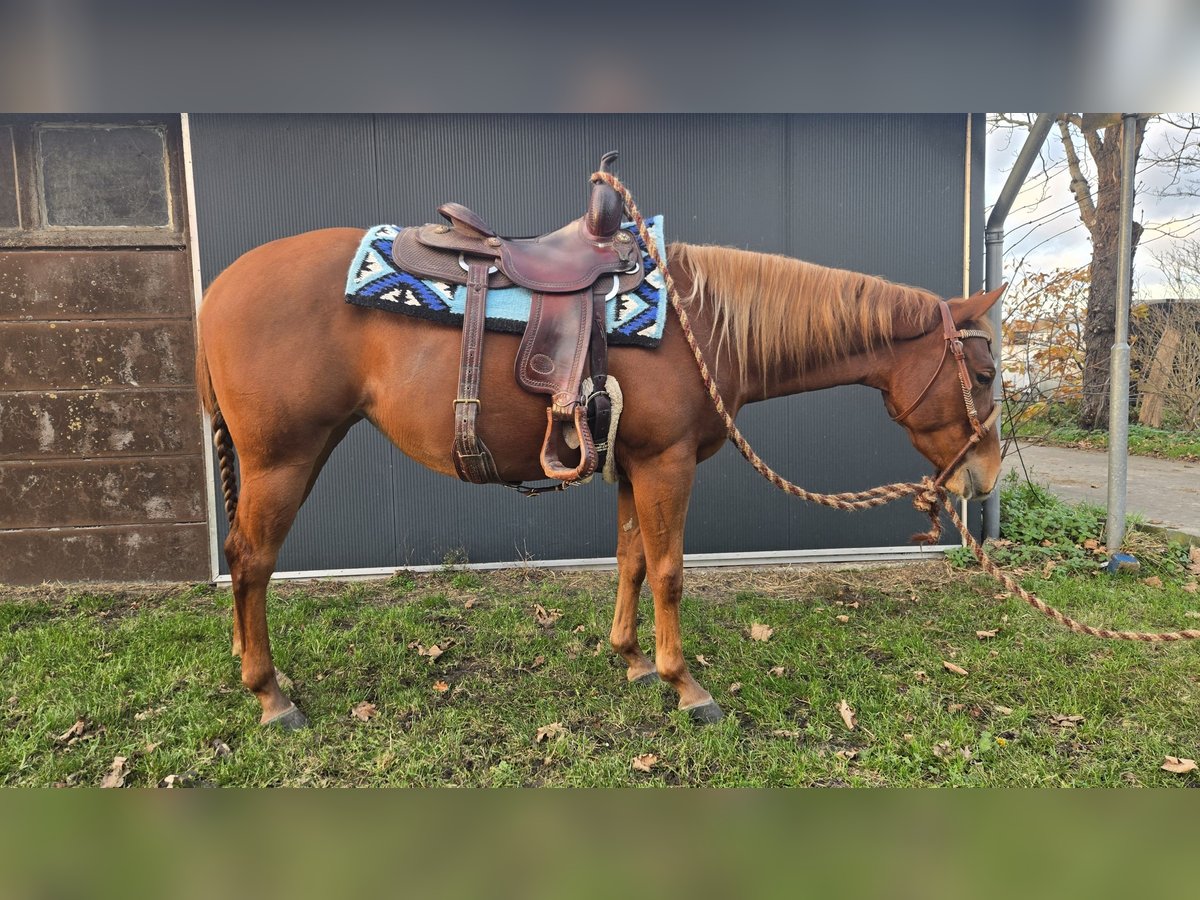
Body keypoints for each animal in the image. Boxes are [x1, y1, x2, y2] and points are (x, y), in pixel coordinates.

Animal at [196, 231, 1003, 728]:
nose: (985, 476)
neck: (702, 324)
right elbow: (670, 571)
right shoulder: (668, 463)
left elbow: (632, 561)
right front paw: (686, 686)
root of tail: (217, 290)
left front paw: (633, 661)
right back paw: (271, 696)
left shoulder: (632, 464)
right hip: (283, 457)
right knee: (251, 561)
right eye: (986, 372)